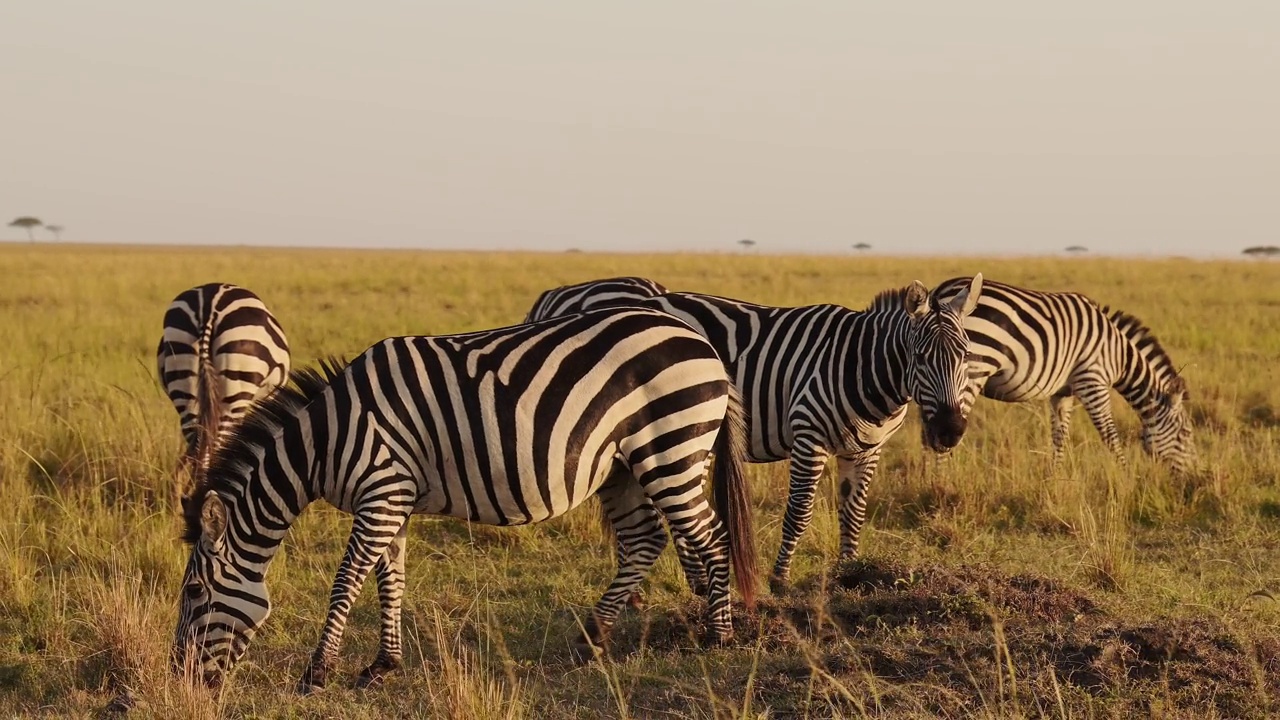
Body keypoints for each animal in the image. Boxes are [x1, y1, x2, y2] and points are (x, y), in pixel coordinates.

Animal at [165, 304, 752, 686]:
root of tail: (701, 343)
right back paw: (592, 639)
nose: (182, 679)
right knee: (646, 540)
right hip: (624, 466)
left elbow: (347, 581)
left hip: (670, 447)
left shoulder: (381, 492)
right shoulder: (393, 500)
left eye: (193, 591)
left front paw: (318, 671)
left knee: (710, 537)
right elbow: (391, 580)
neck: (325, 439)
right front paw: (382, 666)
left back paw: (719, 636)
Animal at [926, 274, 1192, 471]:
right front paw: (1127, 478)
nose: (1190, 480)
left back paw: (931, 480)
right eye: (1185, 434)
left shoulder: (1064, 392)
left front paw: (1056, 477)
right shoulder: (1092, 380)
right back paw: (944, 482)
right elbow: (1110, 435)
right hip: (967, 374)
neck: (1118, 354)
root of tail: (940, 291)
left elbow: (1059, 436)